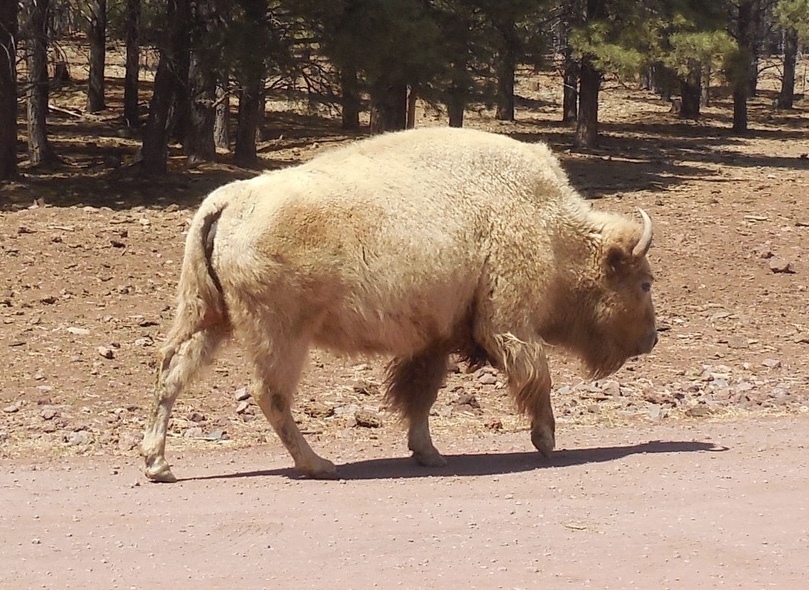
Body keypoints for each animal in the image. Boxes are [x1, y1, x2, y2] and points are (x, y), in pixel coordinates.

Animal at [140, 127, 656, 484]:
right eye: (645, 283)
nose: (651, 339)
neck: (551, 226)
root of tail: (230, 199)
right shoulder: (510, 322)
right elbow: (537, 376)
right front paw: (546, 440)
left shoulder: (433, 340)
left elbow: (420, 396)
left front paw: (428, 453)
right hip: (282, 334)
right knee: (271, 394)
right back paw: (319, 464)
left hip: (206, 316)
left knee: (172, 372)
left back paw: (158, 465)